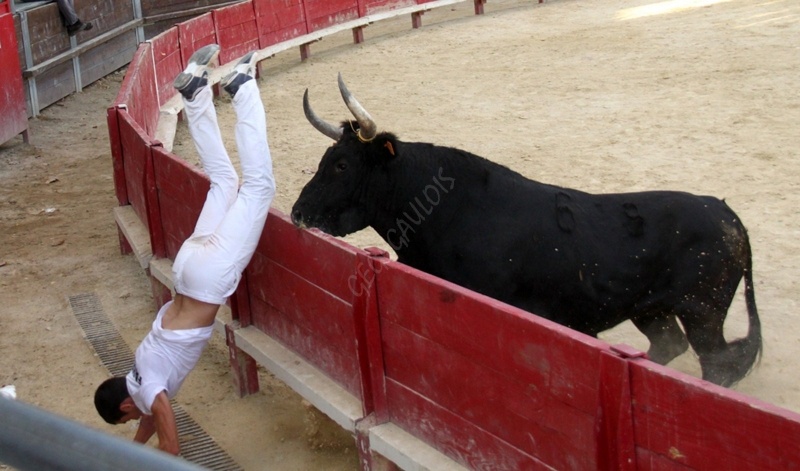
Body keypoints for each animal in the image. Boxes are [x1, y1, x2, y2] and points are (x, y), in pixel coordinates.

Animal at [290, 75, 760, 390]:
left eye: (342, 165)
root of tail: (727, 213)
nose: (297, 212)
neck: (445, 210)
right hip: (652, 309)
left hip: (702, 311)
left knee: (717, 362)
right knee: (669, 345)